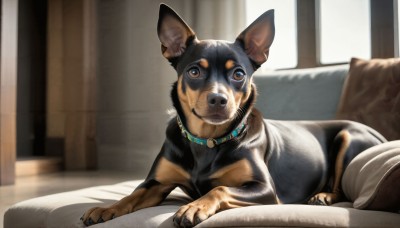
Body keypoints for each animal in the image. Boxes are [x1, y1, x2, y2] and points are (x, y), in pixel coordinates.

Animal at [82, 4, 388, 228]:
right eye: (194, 71)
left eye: (239, 74)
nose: (219, 99)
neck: (206, 140)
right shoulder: (156, 183)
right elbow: (132, 194)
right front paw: (106, 207)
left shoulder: (264, 189)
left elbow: (218, 189)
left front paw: (193, 207)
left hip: (349, 136)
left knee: (342, 189)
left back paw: (323, 195)